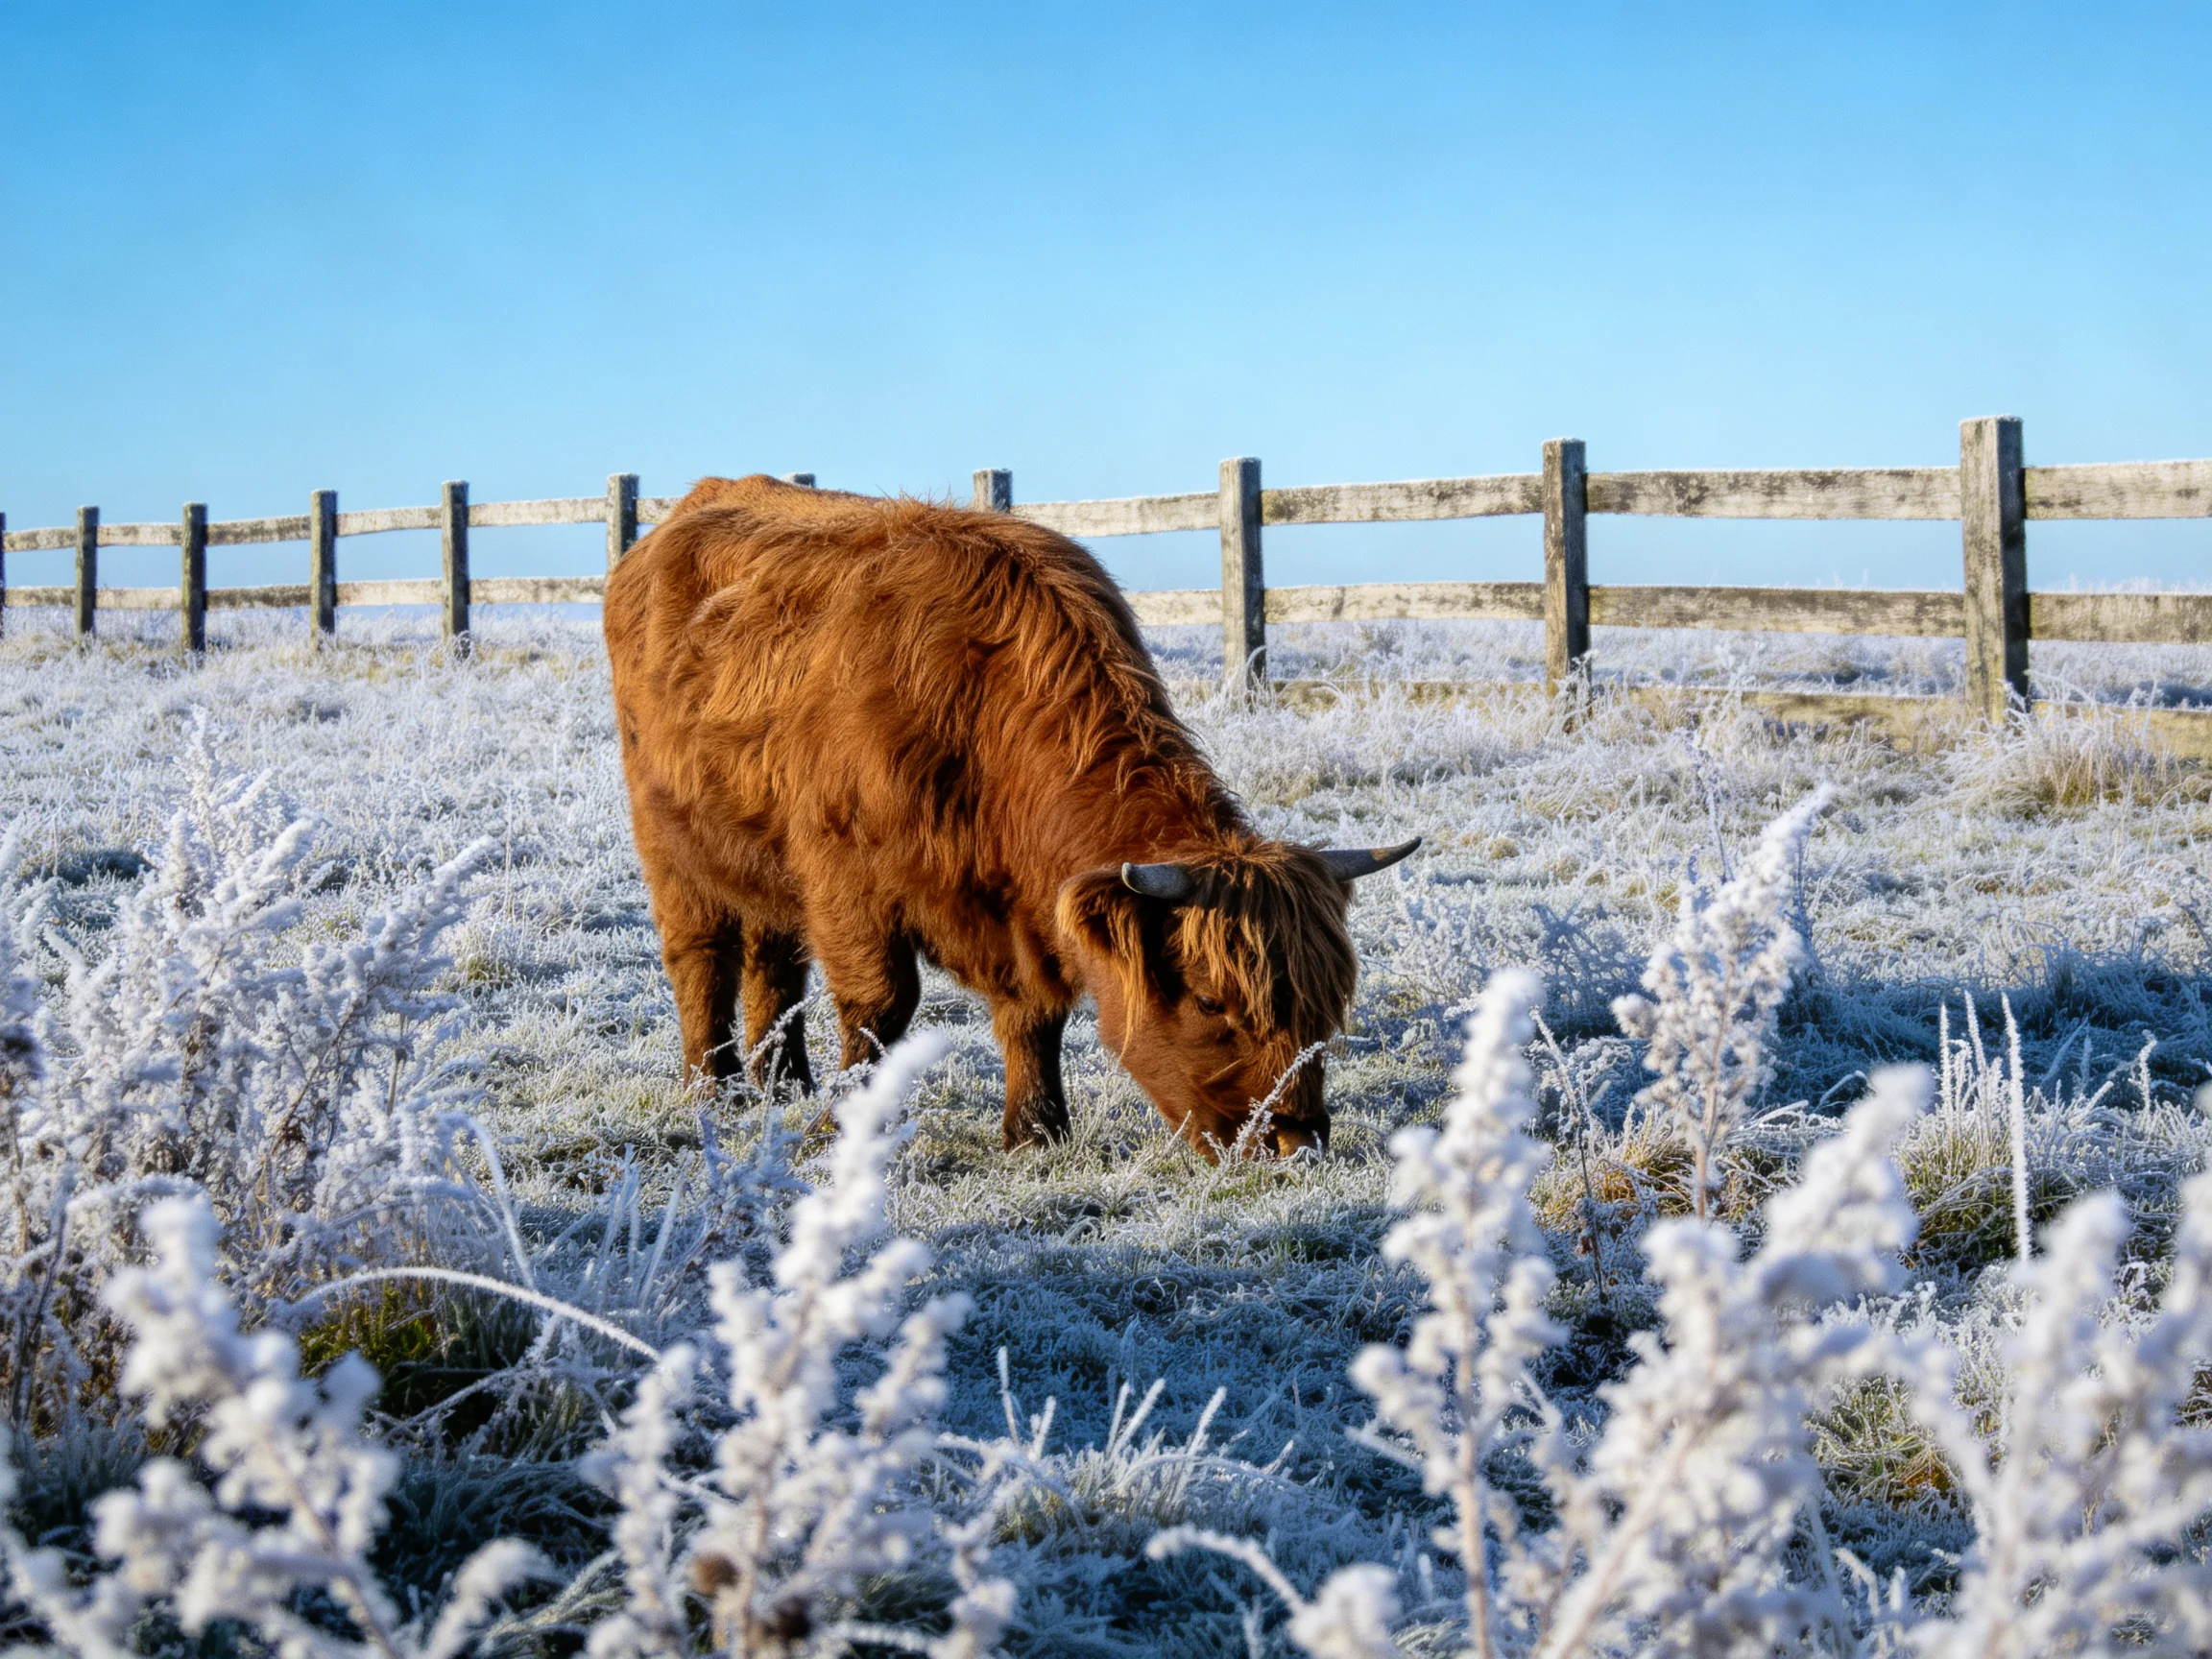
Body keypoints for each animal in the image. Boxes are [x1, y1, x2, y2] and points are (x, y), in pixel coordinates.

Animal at [603, 474, 1416, 1158]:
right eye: (1213, 1001)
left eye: (1327, 1006)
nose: (1296, 1140)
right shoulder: (847, 884)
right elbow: (877, 1007)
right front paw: (847, 1124)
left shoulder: (1021, 909)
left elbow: (1032, 1014)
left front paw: (1035, 1130)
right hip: (672, 845)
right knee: (702, 958)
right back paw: (714, 1086)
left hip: (761, 860)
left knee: (775, 963)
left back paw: (783, 1083)